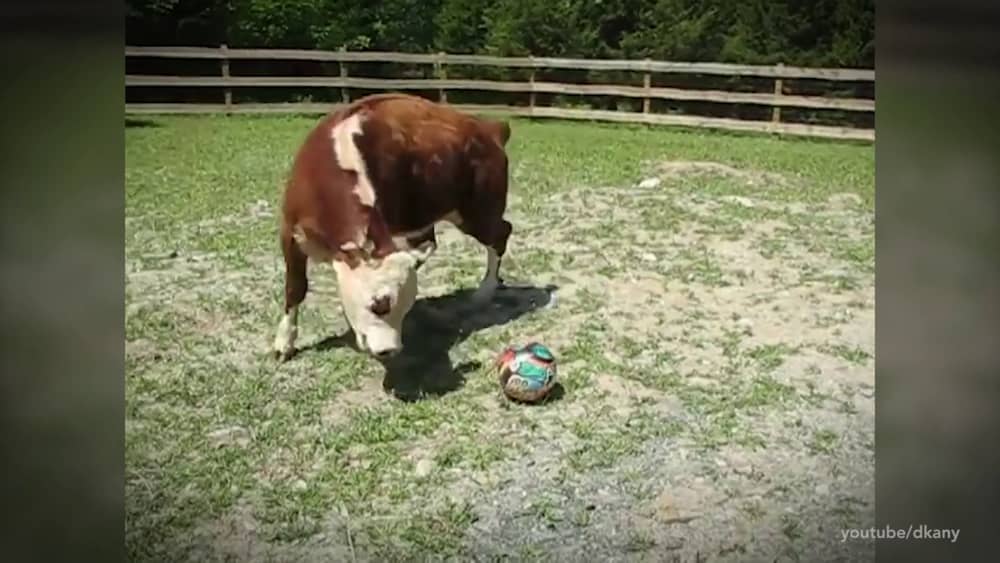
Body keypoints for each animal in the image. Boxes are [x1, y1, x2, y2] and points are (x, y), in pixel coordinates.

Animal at [272, 93, 514, 362]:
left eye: (405, 308)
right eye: (379, 304)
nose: (389, 350)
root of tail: (488, 128)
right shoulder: (290, 232)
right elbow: (295, 288)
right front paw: (284, 343)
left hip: (476, 212)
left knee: (501, 233)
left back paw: (485, 291)